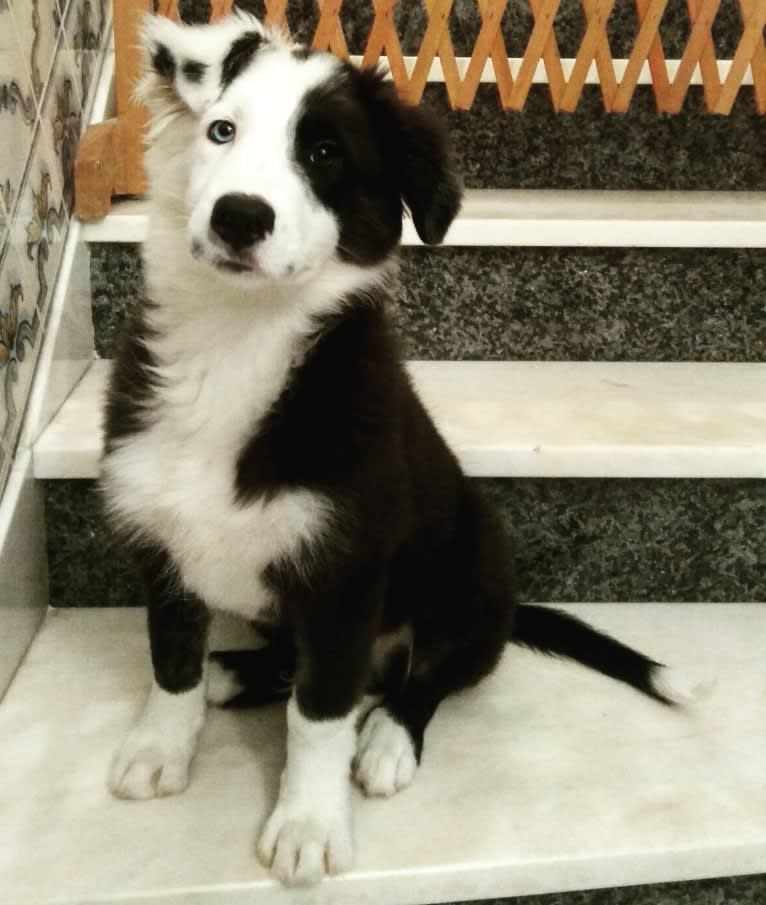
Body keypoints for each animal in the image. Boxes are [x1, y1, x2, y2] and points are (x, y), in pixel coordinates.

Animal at [100, 14, 696, 888]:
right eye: (221, 131)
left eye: (325, 153)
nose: (239, 216)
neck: (238, 338)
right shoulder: (162, 541)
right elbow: (169, 661)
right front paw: (157, 747)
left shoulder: (346, 574)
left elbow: (317, 715)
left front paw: (308, 824)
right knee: (294, 666)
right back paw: (230, 673)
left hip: (475, 569)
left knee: (428, 677)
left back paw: (385, 737)